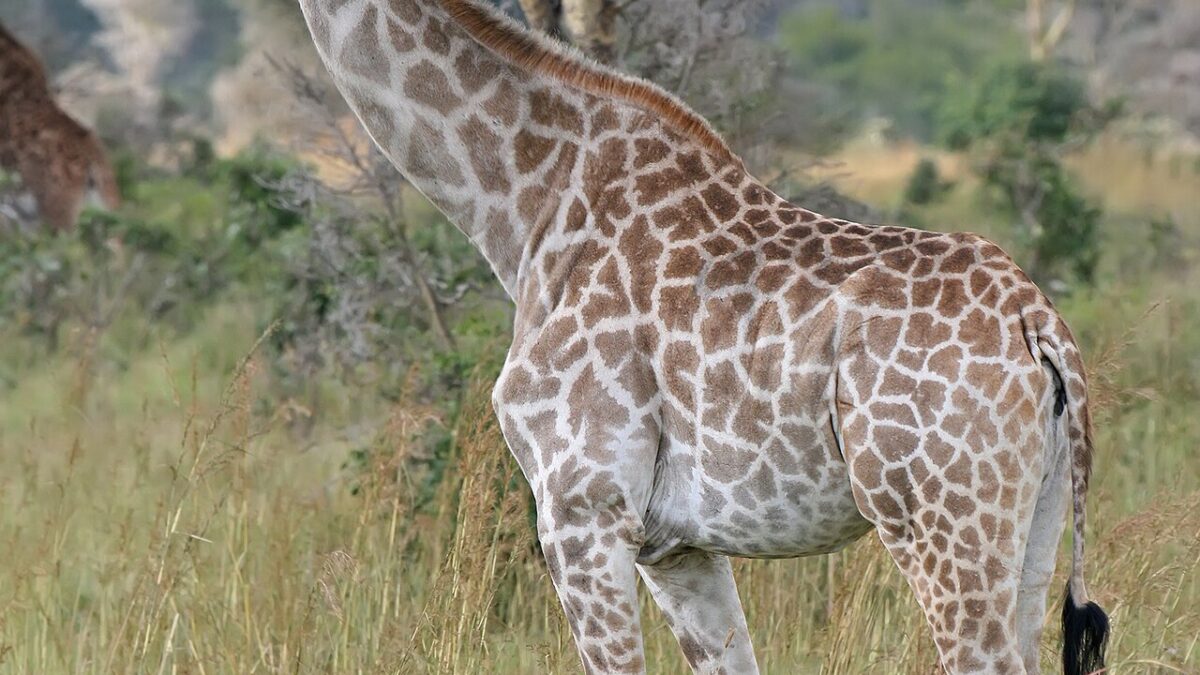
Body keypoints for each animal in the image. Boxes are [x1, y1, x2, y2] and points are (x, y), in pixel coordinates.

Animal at [296, 1, 1111, 672]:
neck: (525, 208)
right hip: (1033, 521)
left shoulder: (581, 506)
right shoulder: (676, 543)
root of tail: (1038, 323)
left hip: (940, 518)